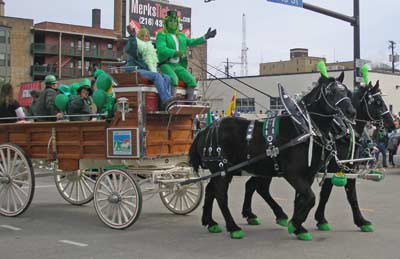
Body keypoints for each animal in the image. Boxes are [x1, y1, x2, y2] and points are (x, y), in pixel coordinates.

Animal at [191, 72, 356, 241]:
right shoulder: (292, 174)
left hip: (222, 171)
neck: (303, 128)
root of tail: (205, 130)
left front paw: (298, 226)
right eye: (331, 92)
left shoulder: (308, 175)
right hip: (222, 170)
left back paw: (210, 222)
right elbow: (310, 198)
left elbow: (302, 199)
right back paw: (233, 227)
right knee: (221, 195)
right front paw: (295, 224)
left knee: (211, 190)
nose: (351, 112)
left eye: (347, 92)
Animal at [241, 80, 394, 235]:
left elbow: (351, 196)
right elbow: (326, 194)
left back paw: (254, 215)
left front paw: (361, 221)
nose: (392, 123)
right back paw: (274, 215)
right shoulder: (332, 168)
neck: (343, 132)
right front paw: (320, 220)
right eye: (378, 102)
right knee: (259, 188)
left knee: (254, 186)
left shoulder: (348, 169)